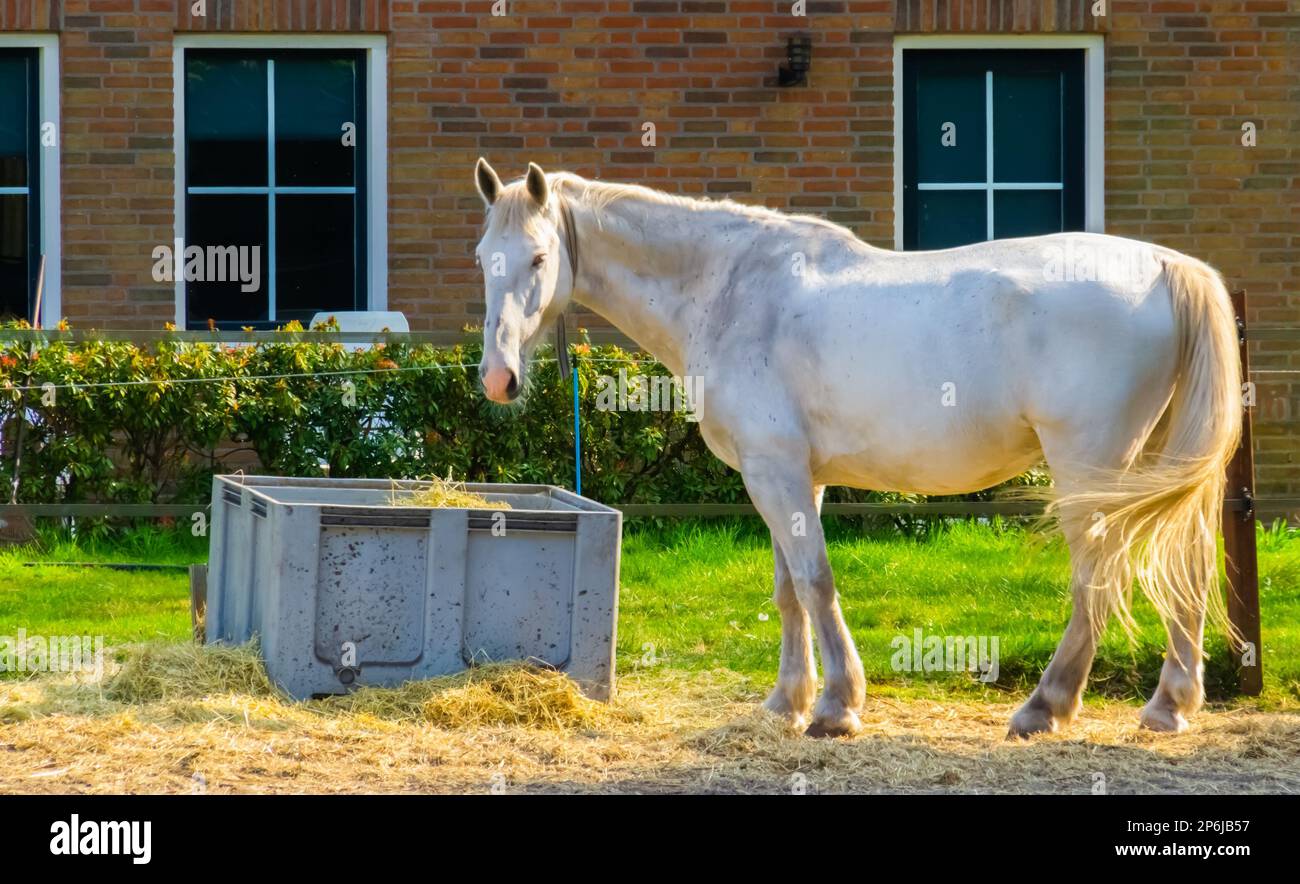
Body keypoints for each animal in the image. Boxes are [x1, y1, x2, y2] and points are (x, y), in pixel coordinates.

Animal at [470, 159, 1242, 739]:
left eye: (539, 257)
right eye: (483, 259)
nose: (498, 377)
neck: (731, 287)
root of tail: (1168, 265)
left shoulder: (775, 473)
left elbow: (815, 582)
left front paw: (837, 706)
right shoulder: (788, 477)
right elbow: (788, 590)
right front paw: (787, 700)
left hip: (1091, 473)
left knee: (1098, 581)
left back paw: (1044, 708)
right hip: (1154, 468)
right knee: (1188, 567)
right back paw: (1168, 706)